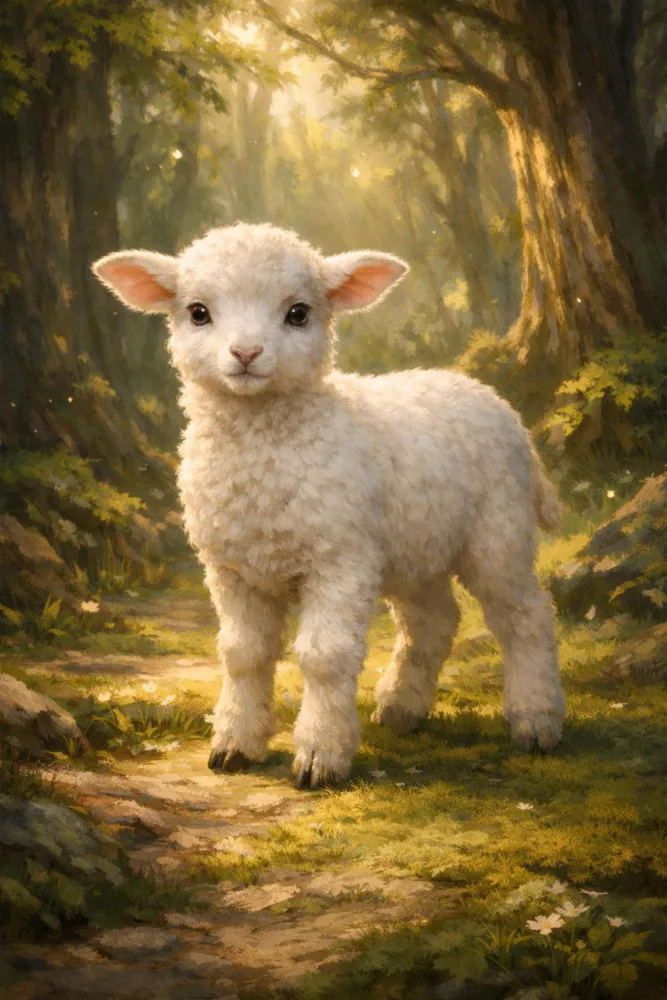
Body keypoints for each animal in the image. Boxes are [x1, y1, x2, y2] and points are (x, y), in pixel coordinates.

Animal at [93, 222, 565, 789]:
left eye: (298, 313)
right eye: (198, 312)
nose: (246, 352)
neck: (263, 449)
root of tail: (495, 403)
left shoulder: (339, 560)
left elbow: (324, 657)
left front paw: (320, 755)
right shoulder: (231, 569)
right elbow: (242, 654)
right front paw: (234, 746)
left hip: (498, 531)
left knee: (525, 615)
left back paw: (536, 720)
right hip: (415, 548)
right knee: (433, 620)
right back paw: (401, 708)